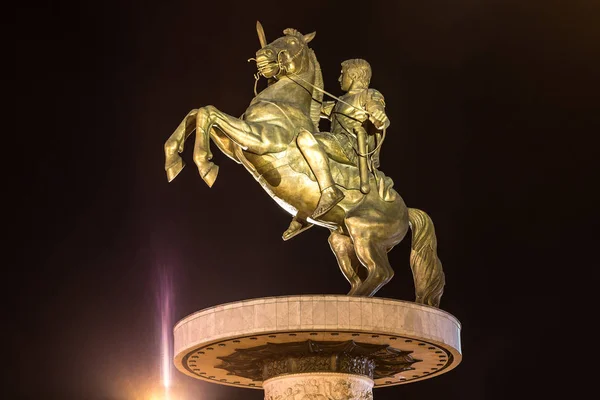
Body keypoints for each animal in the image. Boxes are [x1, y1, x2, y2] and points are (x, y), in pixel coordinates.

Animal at [164, 24, 446, 306]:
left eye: (290, 42)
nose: (262, 55)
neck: (285, 102)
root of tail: (407, 210)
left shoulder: (261, 138)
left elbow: (208, 112)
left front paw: (205, 165)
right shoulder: (236, 147)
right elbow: (198, 113)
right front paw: (173, 159)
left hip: (363, 233)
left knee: (382, 272)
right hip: (341, 239)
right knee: (361, 275)